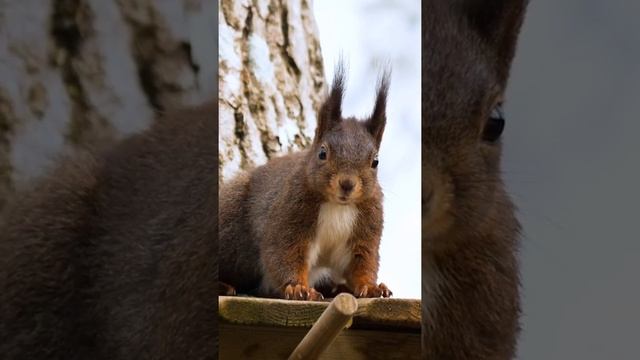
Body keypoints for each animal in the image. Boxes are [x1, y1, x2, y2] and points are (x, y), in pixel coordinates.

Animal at [218, 64, 392, 300]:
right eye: (322, 153)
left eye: (375, 161)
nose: (347, 184)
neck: (338, 205)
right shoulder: (290, 215)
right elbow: (284, 253)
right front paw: (298, 287)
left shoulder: (365, 229)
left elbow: (361, 263)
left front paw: (371, 287)